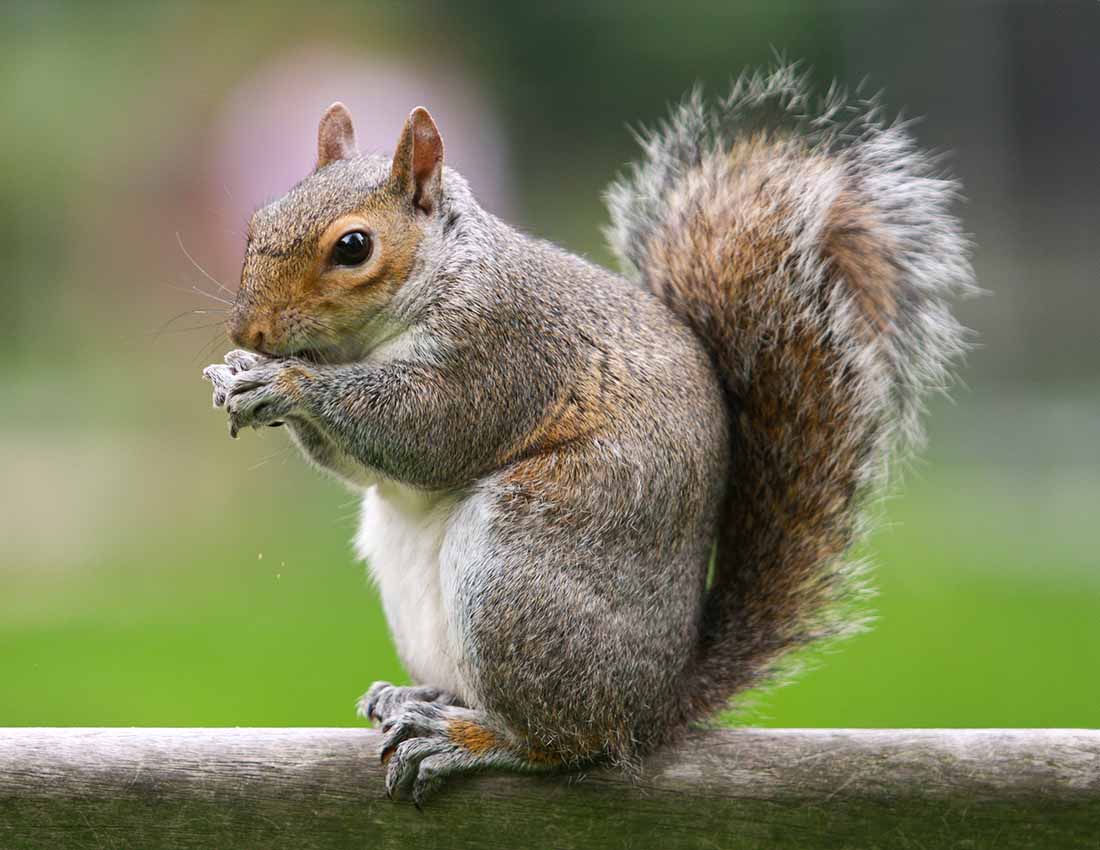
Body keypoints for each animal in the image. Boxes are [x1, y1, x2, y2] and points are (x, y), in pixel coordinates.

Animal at [203, 64, 973, 804]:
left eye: (355, 247)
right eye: (257, 222)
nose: (251, 330)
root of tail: (656, 707)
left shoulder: (499, 353)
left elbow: (426, 432)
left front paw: (287, 382)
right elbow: (367, 465)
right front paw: (240, 373)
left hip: (519, 575)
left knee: (566, 742)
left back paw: (469, 739)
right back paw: (418, 696)